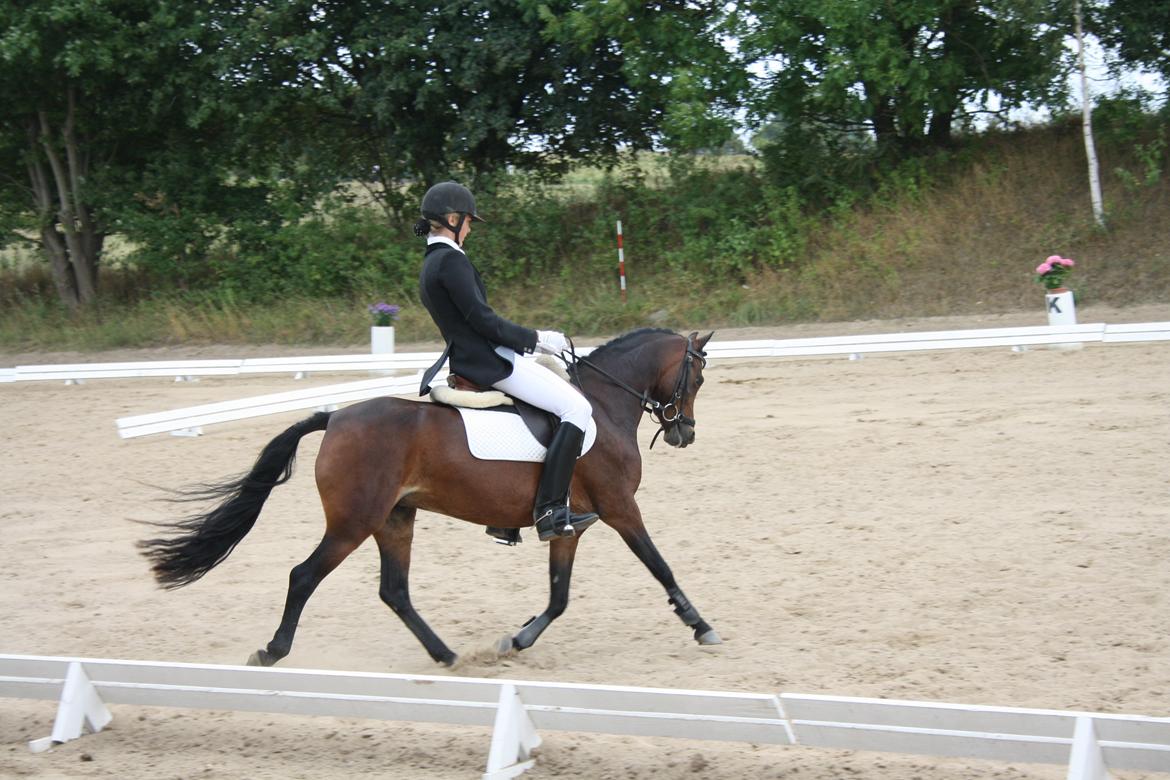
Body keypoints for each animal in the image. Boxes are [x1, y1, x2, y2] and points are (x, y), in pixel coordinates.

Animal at [138, 328, 720, 667]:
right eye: (697, 376)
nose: (684, 433)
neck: (602, 406)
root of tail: (336, 417)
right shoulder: (620, 508)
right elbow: (660, 566)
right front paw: (702, 626)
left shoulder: (571, 522)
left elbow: (559, 596)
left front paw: (517, 641)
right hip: (354, 522)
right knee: (304, 576)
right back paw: (273, 650)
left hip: (395, 518)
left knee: (394, 591)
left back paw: (445, 654)